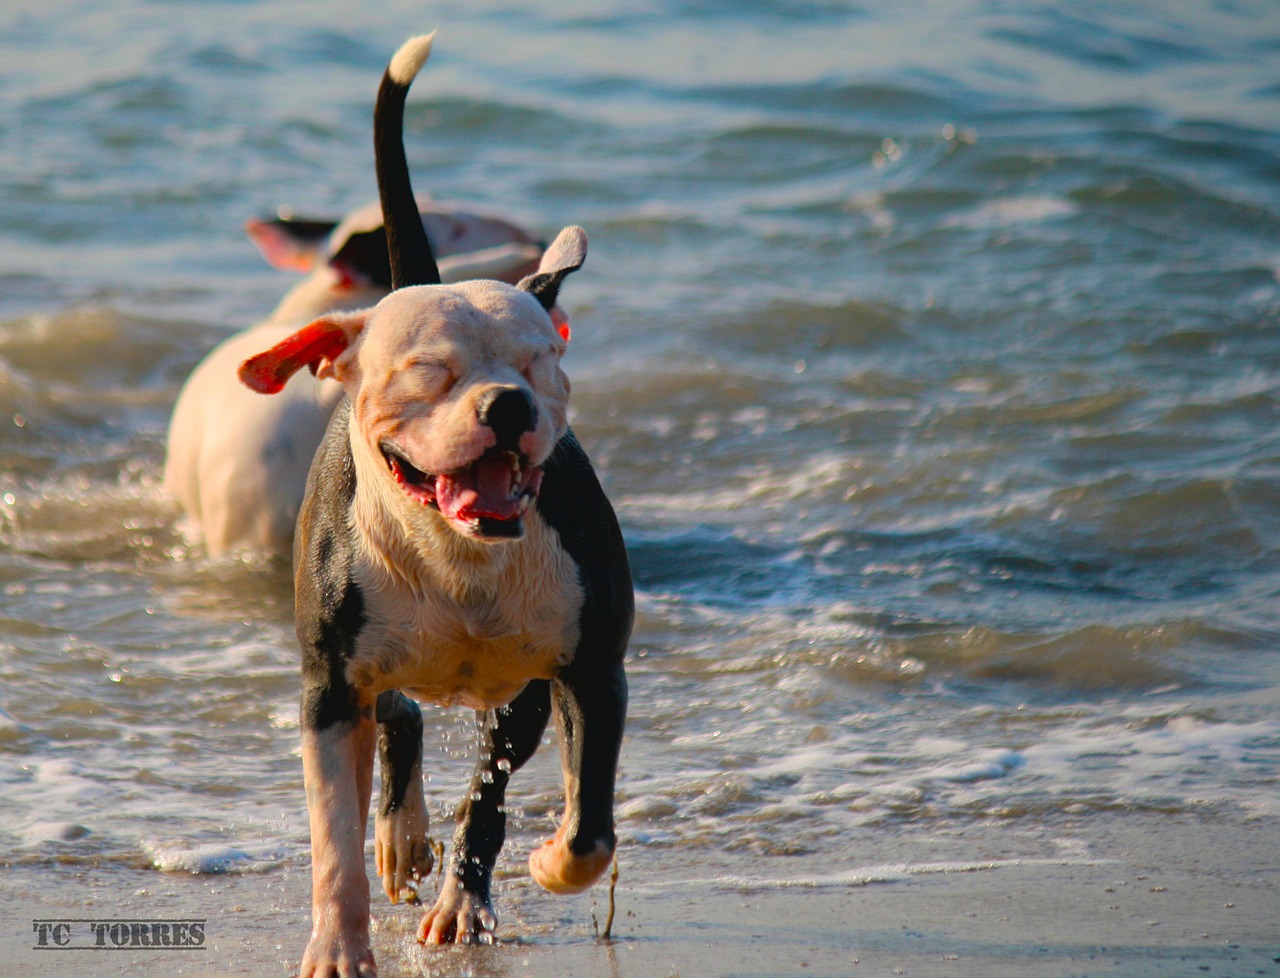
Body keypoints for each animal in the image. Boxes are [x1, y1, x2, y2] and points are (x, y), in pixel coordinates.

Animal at [238, 34, 632, 972]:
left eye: (538, 361)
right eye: (429, 371)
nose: (509, 405)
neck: (457, 551)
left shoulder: (588, 670)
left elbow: (574, 825)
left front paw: (543, 863)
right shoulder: (327, 690)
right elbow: (333, 839)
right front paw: (339, 943)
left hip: (519, 688)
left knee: (476, 766)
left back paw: (457, 886)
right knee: (399, 717)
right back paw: (399, 835)